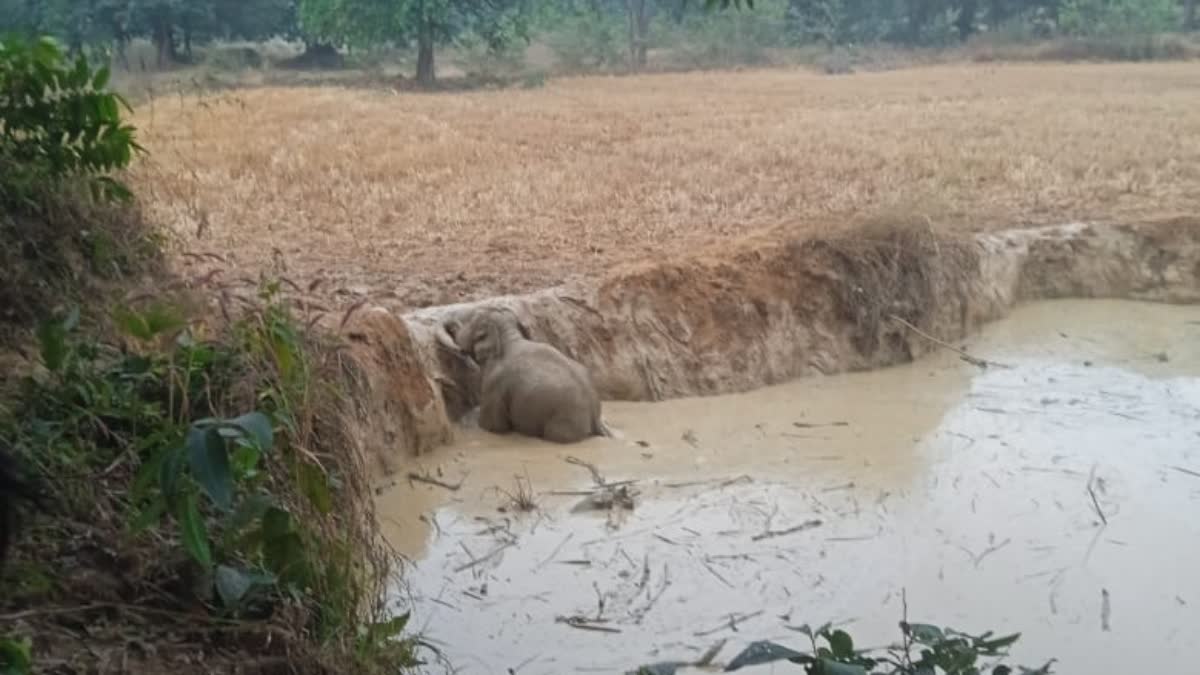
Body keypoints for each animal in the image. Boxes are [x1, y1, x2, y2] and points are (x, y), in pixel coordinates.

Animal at [434, 305, 609, 441]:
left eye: (470, 322)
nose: (453, 326)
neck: (509, 337)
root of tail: (595, 418)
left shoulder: (495, 382)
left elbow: (492, 426)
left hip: (565, 421)